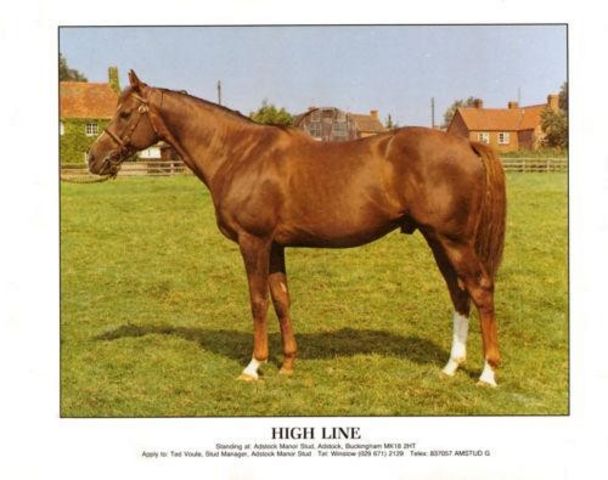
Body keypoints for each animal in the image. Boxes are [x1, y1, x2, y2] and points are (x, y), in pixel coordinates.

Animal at [88, 70, 506, 386]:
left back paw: (487, 373)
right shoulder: (274, 246)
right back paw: (451, 367)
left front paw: (253, 366)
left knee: (480, 290)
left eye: (125, 114)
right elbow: (281, 299)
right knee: (459, 293)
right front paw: (287, 364)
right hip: (438, 240)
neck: (238, 153)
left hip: (454, 241)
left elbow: (257, 301)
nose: (94, 157)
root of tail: (467, 145)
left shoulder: (253, 242)